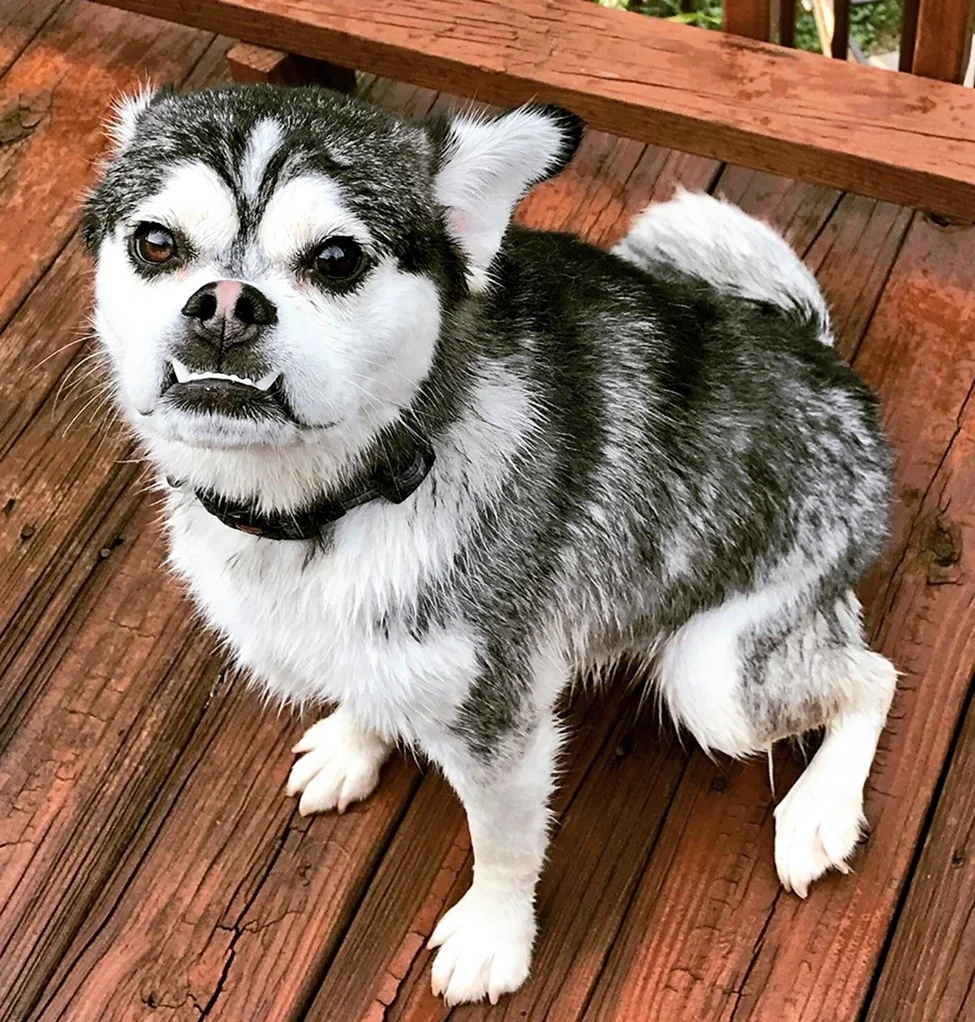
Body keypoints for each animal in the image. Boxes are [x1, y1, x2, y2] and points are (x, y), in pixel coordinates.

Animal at [85, 81, 895, 1005]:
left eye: (337, 258)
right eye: (155, 242)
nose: (225, 302)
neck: (332, 507)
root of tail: (824, 357)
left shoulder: (499, 723)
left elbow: (502, 847)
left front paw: (492, 937)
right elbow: (368, 685)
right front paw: (354, 742)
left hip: (714, 679)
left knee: (870, 676)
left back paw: (818, 811)